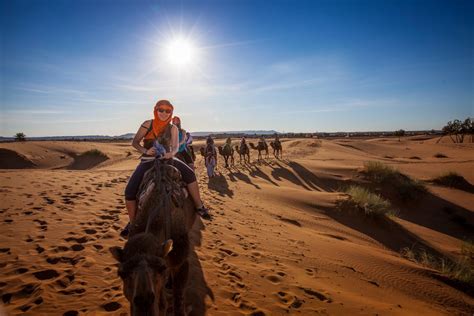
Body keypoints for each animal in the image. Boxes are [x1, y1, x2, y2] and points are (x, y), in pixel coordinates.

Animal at [110, 160, 195, 316]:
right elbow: (162, 303)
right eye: (121, 273)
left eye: (161, 268)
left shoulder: (180, 261)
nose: (144, 306)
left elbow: (178, 301)